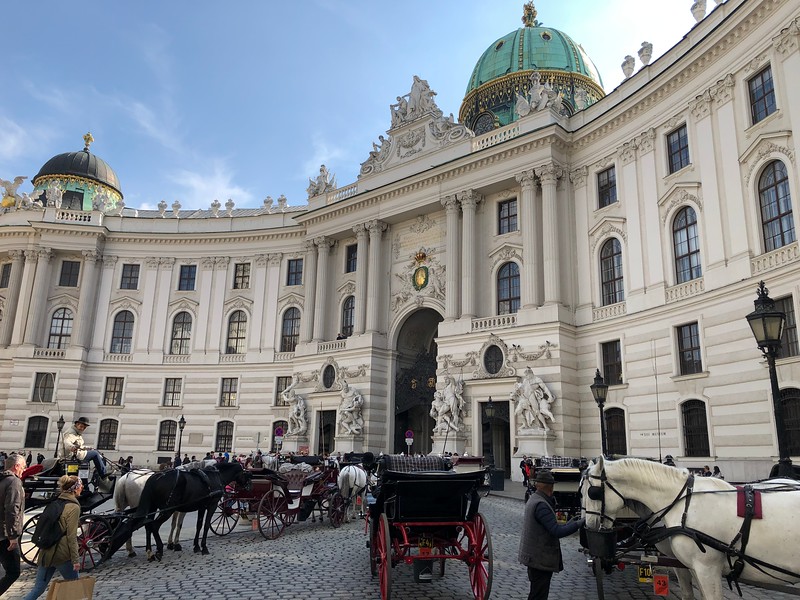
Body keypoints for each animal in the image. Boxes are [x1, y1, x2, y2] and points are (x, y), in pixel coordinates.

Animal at [105, 460, 250, 564]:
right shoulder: (209, 506)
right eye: (246, 475)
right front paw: (199, 547)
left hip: (134, 507)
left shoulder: (200, 506)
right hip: (159, 509)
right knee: (150, 525)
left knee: (137, 524)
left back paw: (145, 552)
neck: (213, 476)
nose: (247, 487)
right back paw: (155, 551)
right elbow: (192, 525)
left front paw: (194, 546)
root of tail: (126, 477)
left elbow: (197, 525)